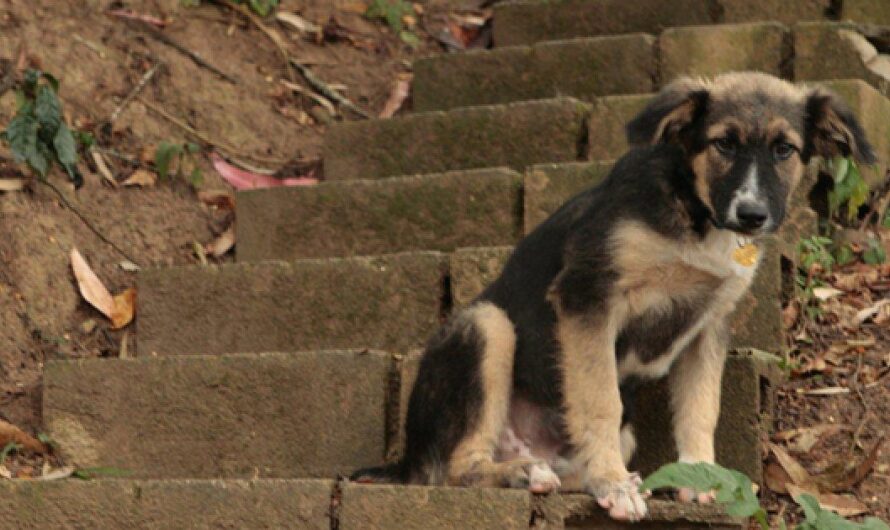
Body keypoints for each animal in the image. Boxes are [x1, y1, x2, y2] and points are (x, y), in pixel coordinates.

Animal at [348, 73, 876, 520]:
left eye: (785, 150)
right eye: (723, 143)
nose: (751, 215)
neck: (695, 214)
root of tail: (405, 460)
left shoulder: (709, 325)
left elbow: (701, 409)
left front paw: (700, 478)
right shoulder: (588, 297)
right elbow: (600, 398)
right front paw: (612, 485)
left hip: (618, 436)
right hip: (485, 326)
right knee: (455, 468)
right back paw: (526, 473)